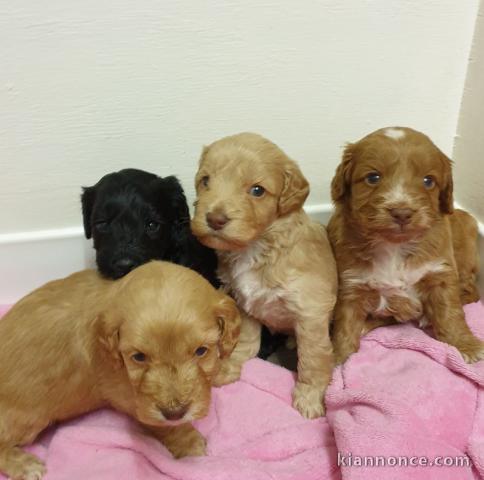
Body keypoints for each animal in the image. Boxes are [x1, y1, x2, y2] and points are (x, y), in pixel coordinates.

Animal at [0, 262, 240, 480]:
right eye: (139, 357)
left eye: (201, 351)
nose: (175, 412)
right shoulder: (128, 397)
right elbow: (163, 425)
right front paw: (188, 441)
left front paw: (224, 369)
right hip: (27, 419)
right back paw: (24, 464)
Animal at [191, 133, 338, 418]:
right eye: (205, 181)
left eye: (257, 190)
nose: (214, 219)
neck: (256, 247)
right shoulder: (243, 300)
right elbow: (247, 339)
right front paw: (231, 365)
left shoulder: (311, 312)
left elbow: (313, 358)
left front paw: (310, 397)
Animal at [328, 126, 482, 364]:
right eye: (373, 177)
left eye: (428, 181)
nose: (402, 212)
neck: (394, 247)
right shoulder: (352, 284)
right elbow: (345, 325)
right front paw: (337, 358)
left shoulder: (440, 275)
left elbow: (451, 313)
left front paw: (466, 345)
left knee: (470, 291)